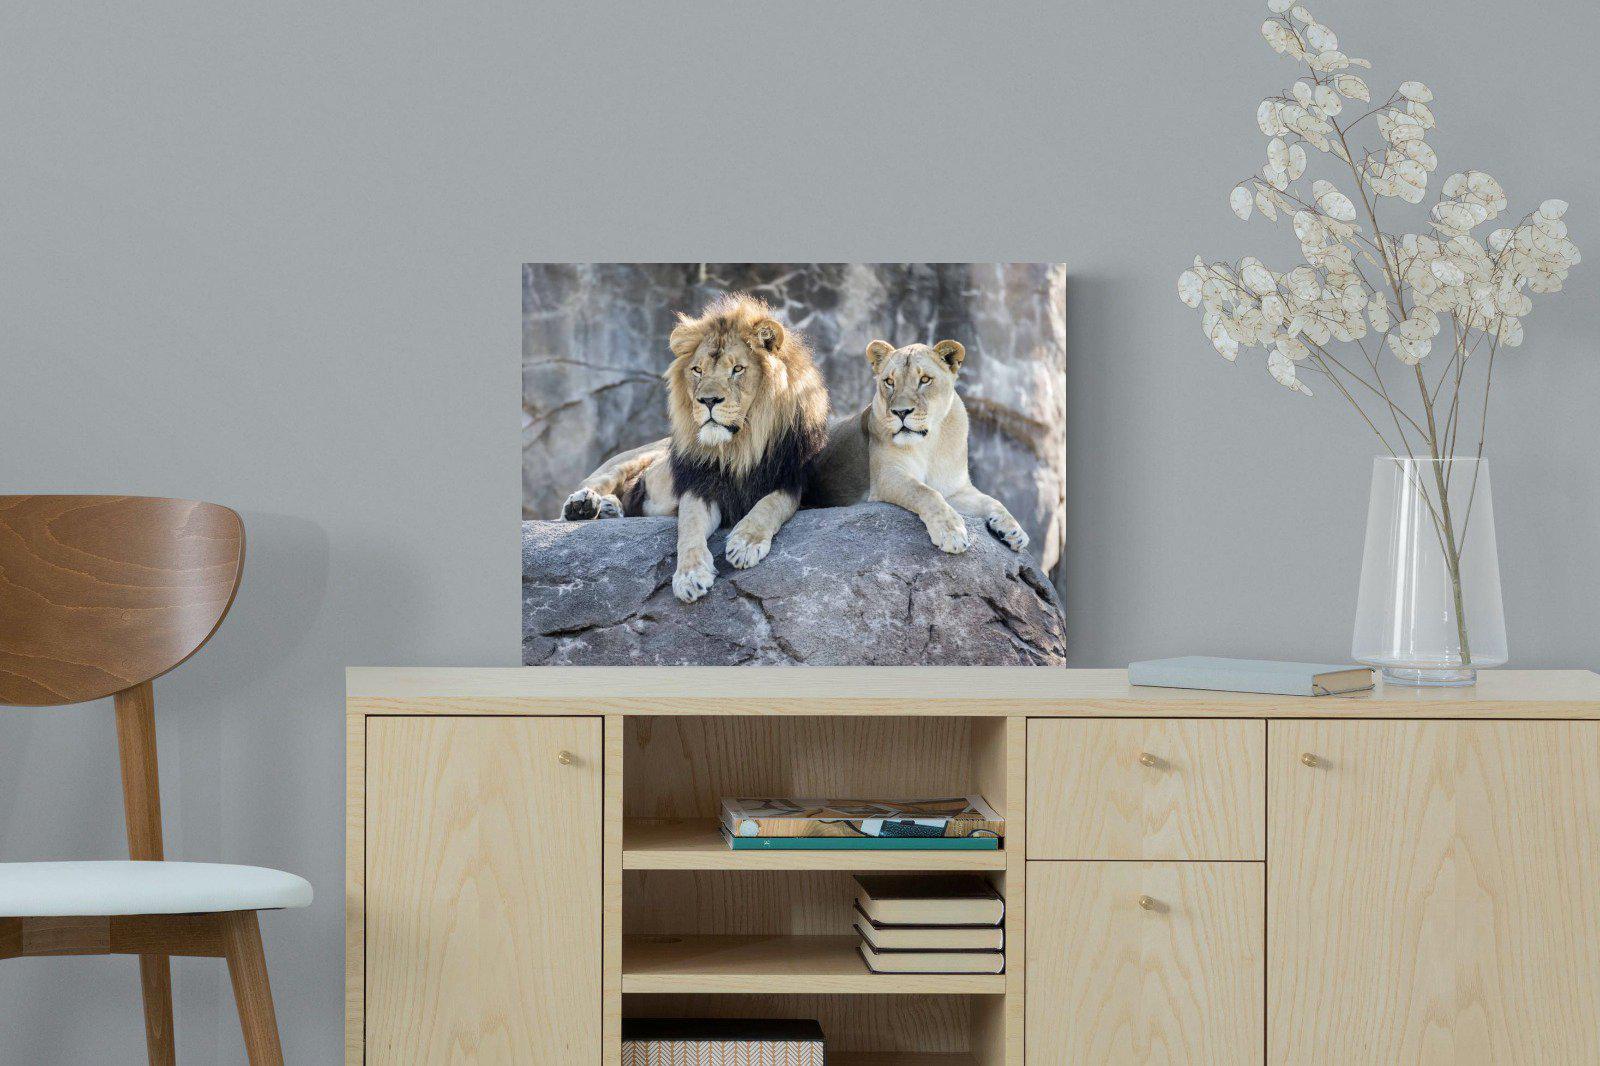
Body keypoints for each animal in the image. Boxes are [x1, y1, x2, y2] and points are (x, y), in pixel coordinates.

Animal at [559, 293, 830, 603]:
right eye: (697, 370)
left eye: (737, 369)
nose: (708, 400)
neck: (739, 448)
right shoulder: (699, 486)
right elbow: (689, 528)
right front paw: (689, 576)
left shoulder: (791, 481)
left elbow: (769, 505)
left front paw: (745, 543)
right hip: (629, 459)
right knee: (592, 484)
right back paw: (583, 505)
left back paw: (608, 508)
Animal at [853, 338, 1029, 555]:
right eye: (889, 382)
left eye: (925, 379)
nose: (901, 412)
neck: (928, 443)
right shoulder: (886, 476)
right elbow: (925, 492)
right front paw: (951, 533)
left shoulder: (955, 489)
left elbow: (991, 500)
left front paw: (1014, 530)